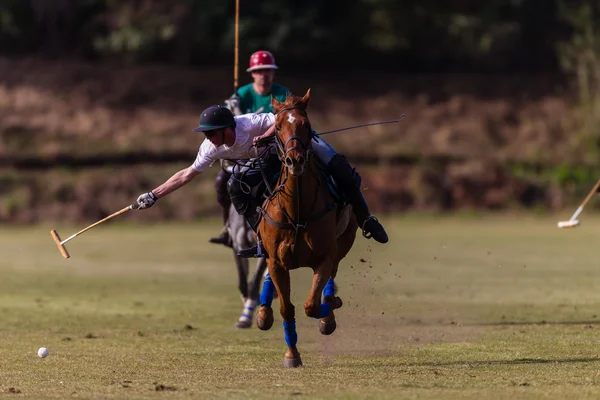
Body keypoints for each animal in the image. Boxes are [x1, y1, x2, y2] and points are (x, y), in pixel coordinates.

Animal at [253, 89, 356, 368]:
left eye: (306, 125)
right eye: (278, 126)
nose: (295, 160)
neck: (297, 211)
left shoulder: (323, 257)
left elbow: (312, 304)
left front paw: (329, 312)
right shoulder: (277, 262)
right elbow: (287, 308)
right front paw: (292, 355)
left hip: (345, 241)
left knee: (333, 273)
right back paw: (263, 314)